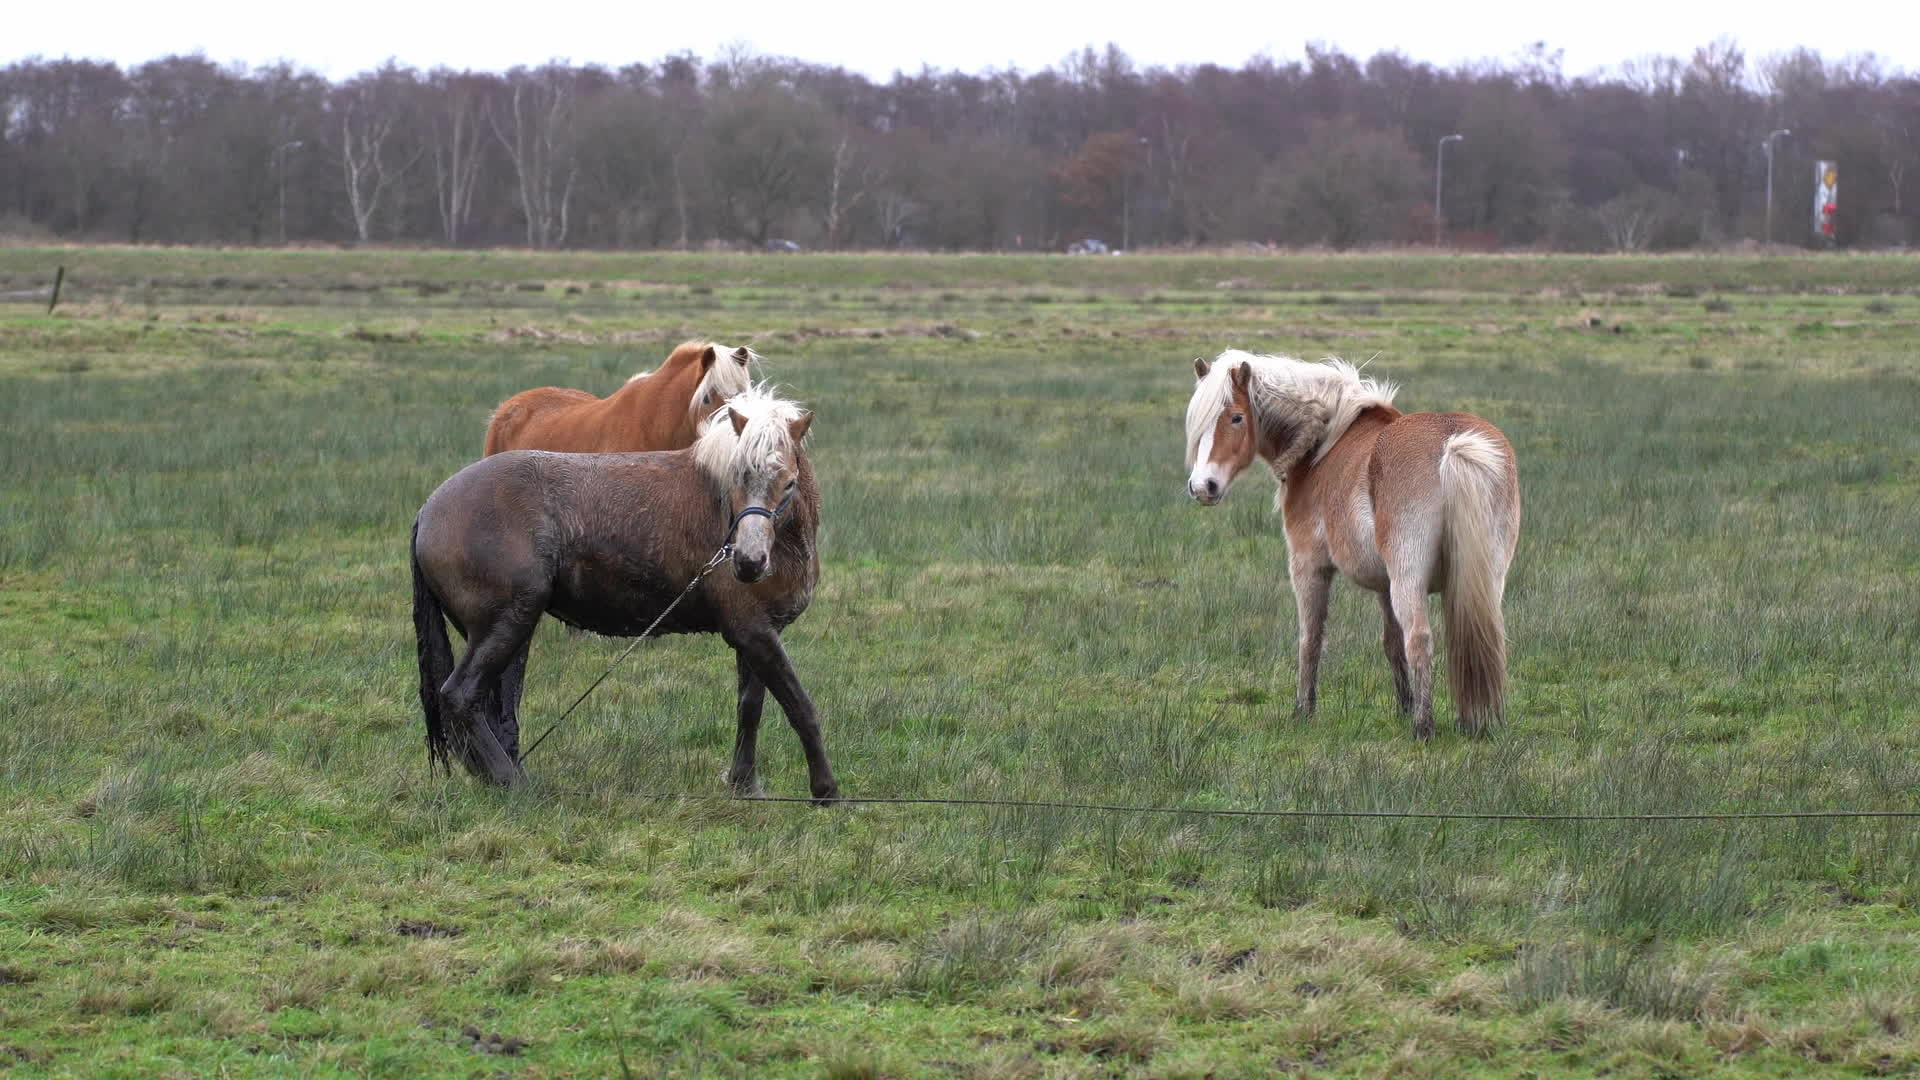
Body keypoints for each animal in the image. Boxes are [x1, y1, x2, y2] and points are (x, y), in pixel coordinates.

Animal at [412, 380, 840, 799]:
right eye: (736, 479)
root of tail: (430, 507)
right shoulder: (752, 631)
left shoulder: (758, 633)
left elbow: (750, 707)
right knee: (461, 697)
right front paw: (826, 791)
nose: (748, 562)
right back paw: (509, 781)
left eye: (788, 483)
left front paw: (744, 784)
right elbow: (800, 706)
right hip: (505, 625)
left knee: (494, 706)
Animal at [1175, 349, 1520, 734]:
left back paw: (1423, 727)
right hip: (1485, 580)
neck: (1322, 443)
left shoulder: (1309, 567)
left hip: (1409, 579)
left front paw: (1303, 710)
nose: (1203, 487)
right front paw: (1402, 706)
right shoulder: (1384, 586)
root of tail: (1452, 442)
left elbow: (1311, 639)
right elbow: (1391, 643)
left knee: (1419, 638)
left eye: (1236, 417)